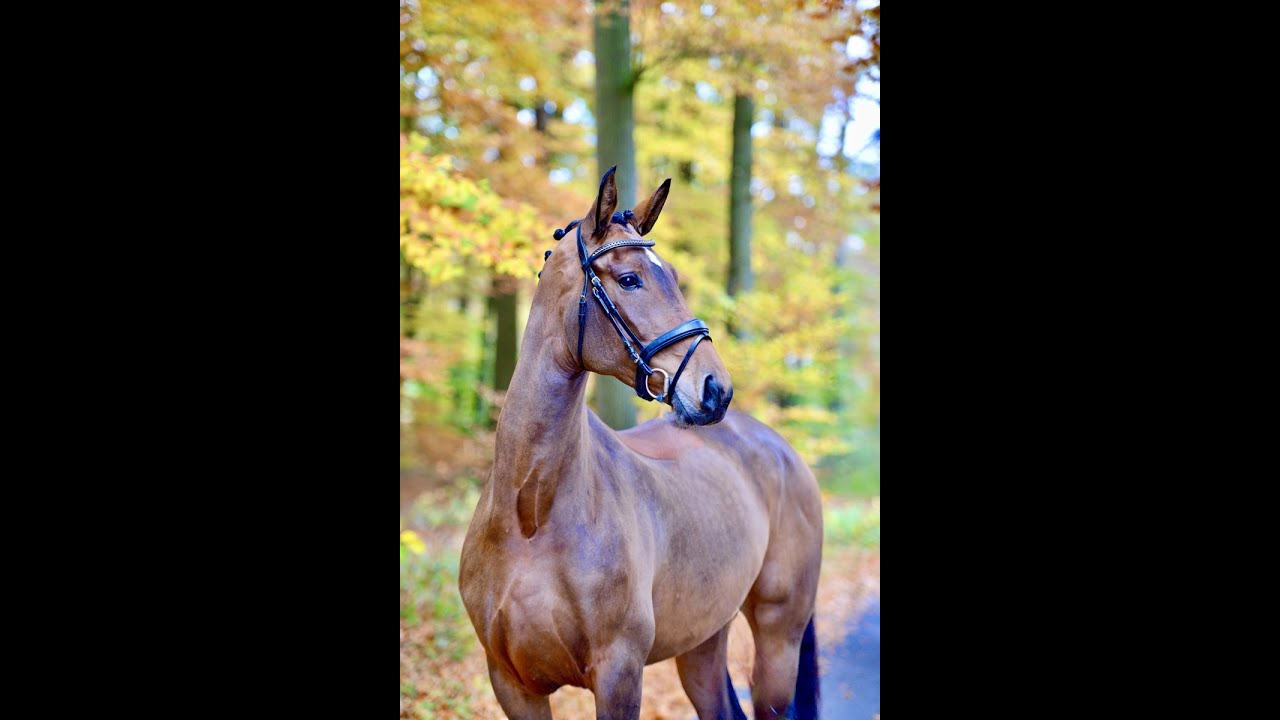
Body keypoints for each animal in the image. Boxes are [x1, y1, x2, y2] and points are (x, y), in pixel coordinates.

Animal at [459, 167, 823, 719]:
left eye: (671, 273)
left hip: (778, 640)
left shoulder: (619, 676)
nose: (715, 389)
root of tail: (783, 453)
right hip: (703, 640)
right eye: (629, 278)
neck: (530, 515)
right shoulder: (511, 683)